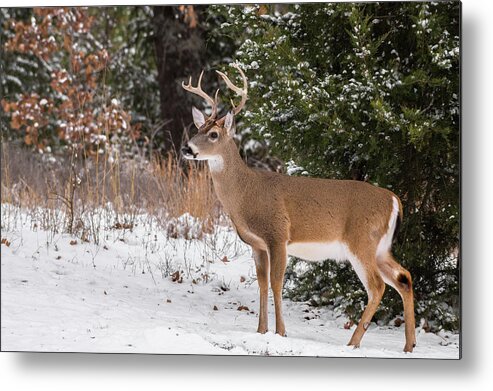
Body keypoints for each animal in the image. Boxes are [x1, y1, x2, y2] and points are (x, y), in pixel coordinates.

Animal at [181, 63, 416, 352]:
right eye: (197, 129)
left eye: (213, 134)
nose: (187, 148)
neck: (246, 194)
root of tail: (394, 200)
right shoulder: (257, 244)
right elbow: (261, 283)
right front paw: (260, 330)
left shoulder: (278, 234)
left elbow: (276, 282)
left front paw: (280, 332)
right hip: (380, 247)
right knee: (404, 277)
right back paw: (409, 344)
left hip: (361, 241)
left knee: (377, 286)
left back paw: (353, 342)